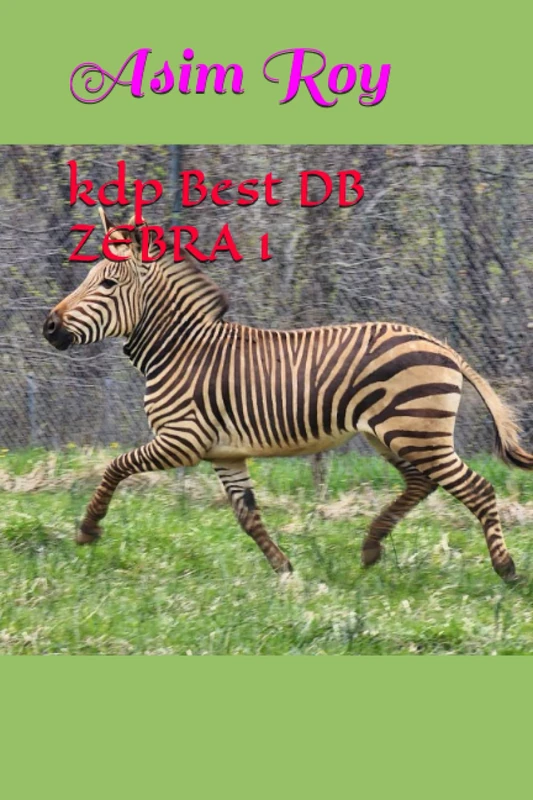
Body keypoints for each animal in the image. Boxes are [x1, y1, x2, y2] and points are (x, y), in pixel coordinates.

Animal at [43, 208, 533, 582]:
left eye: (107, 284)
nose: (49, 327)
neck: (181, 349)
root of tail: (442, 345)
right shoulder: (225, 453)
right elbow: (247, 516)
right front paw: (284, 569)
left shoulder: (183, 441)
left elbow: (114, 466)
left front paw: (88, 529)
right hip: (391, 435)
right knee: (421, 483)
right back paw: (371, 548)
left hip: (416, 433)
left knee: (477, 488)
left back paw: (506, 570)